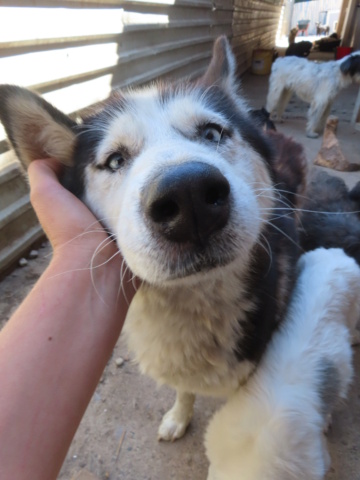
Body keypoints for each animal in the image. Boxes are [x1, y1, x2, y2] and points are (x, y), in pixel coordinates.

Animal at [0, 37, 306, 440]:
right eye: (115, 161)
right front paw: (179, 415)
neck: (192, 302)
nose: (189, 196)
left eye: (212, 133)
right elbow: (185, 389)